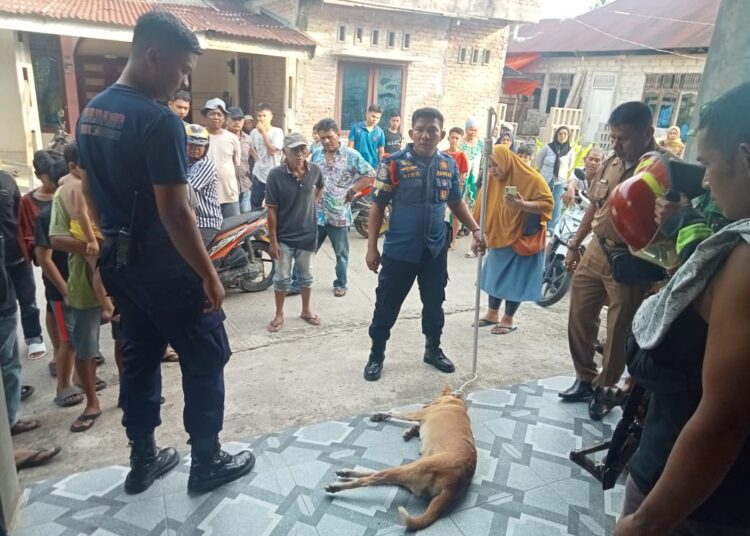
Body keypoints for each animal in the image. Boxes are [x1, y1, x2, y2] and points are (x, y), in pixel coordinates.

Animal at [324, 386, 476, 532]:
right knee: (378, 476)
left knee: (369, 480)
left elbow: (394, 412)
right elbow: (413, 425)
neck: (455, 401)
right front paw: (409, 430)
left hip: (411, 468)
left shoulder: (417, 414)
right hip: (408, 475)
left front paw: (382, 414)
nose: (425, 404)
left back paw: (337, 486)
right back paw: (346, 473)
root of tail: (453, 486)